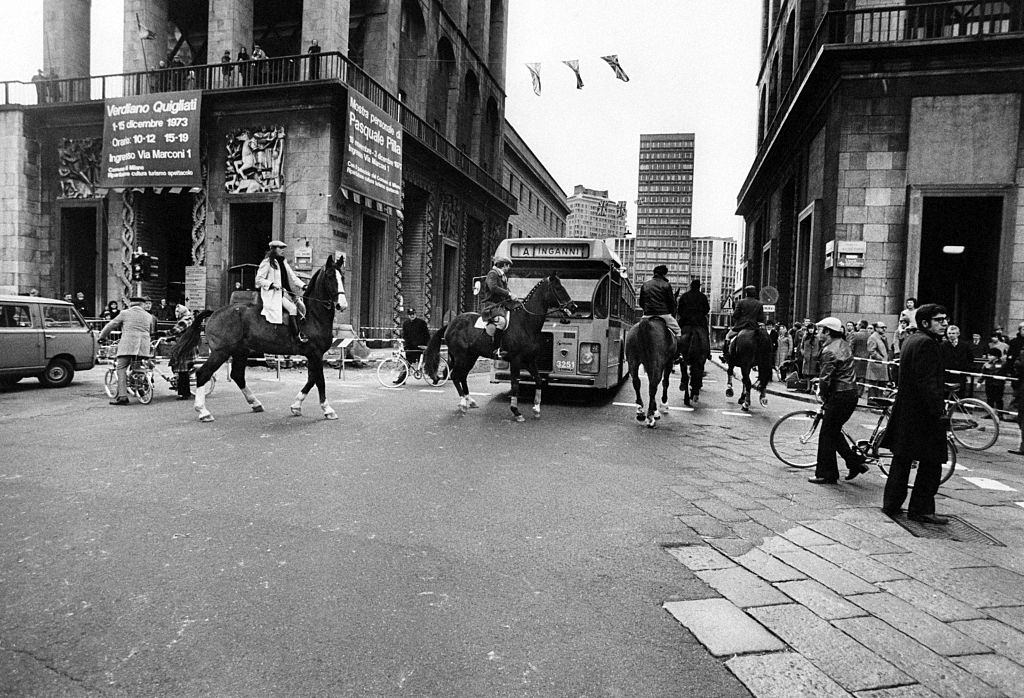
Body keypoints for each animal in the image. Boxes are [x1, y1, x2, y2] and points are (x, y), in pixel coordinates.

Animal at [172, 253, 348, 421]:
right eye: (330, 276)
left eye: (343, 277)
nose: (342, 305)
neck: (313, 316)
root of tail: (215, 312)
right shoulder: (315, 354)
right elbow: (320, 381)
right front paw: (327, 410)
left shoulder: (313, 356)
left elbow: (312, 379)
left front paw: (296, 406)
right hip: (220, 352)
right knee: (203, 374)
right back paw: (203, 411)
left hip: (240, 352)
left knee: (237, 375)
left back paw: (255, 403)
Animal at [417, 274, 577, 421]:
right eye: (558, 288)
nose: (573, 307)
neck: (525, 323)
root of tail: (451, 323)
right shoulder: (516, 360)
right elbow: (515, 385)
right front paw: (516, 412)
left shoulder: (530, 361)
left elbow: (538, 381)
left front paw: (536, 408)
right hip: (461, 356)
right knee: (456, 375)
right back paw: (463, 403)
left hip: (471, 357)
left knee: (462, 376)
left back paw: (470, 401)